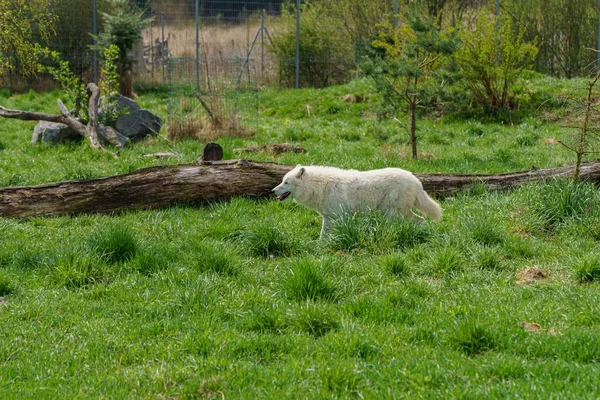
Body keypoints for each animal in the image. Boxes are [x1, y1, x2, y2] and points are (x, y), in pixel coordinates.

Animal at [272, 164, 440, 236]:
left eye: (285, 182)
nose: (272, 191)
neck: (320, 185)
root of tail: (416, 181)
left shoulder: (340, 216)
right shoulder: (329, 217)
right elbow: (323, 234)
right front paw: (320, 246)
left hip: (393, 213)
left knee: (420, 220)